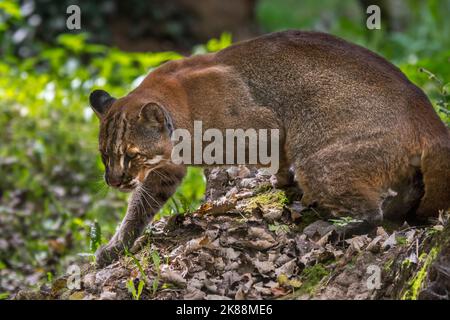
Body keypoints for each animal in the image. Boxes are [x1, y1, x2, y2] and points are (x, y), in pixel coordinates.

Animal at [89, 30, 450, 268]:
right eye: (105, 156)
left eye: (132, 154)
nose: (115, 181)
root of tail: (428, 117)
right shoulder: (165, 169)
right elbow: (140, 208)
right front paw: (116, 247)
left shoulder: (266, 129)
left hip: (320, 163)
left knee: (373, 214)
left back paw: (337, 231)